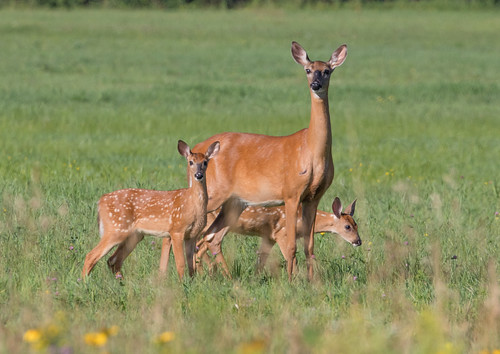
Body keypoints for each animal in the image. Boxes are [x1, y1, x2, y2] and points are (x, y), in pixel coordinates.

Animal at [82, 140, 219, 280]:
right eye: (190, 162)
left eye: (205, 162)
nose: (198, 175)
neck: (192, 204)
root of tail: (101, 201)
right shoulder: (176, 230)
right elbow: (181, 264)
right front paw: (182, 283)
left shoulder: (192, 235)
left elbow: (192, 266)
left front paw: (191, 282)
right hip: (115, 229)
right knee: (91, 256)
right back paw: (84, 282)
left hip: (134, 235)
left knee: (113, 260)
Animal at [160, 196, 360, 276]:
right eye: (347, 226)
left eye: (357, 224)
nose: (358, 241)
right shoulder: (281, 233)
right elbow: (291, 257)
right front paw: (297, 279)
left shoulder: (269, 236)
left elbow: (261, 259)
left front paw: (256, 278)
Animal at [189, 41, 346, 280]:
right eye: (308, 70)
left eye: (327, 71)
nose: (316, 84)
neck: (312, 152)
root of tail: (197, 149)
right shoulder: (291, 193)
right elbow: (291, 245)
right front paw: (291, 281)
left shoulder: (314, 197)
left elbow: (309, 246)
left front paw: (312, 281)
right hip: (213, 193)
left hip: (234, 202)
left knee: (211, 237)